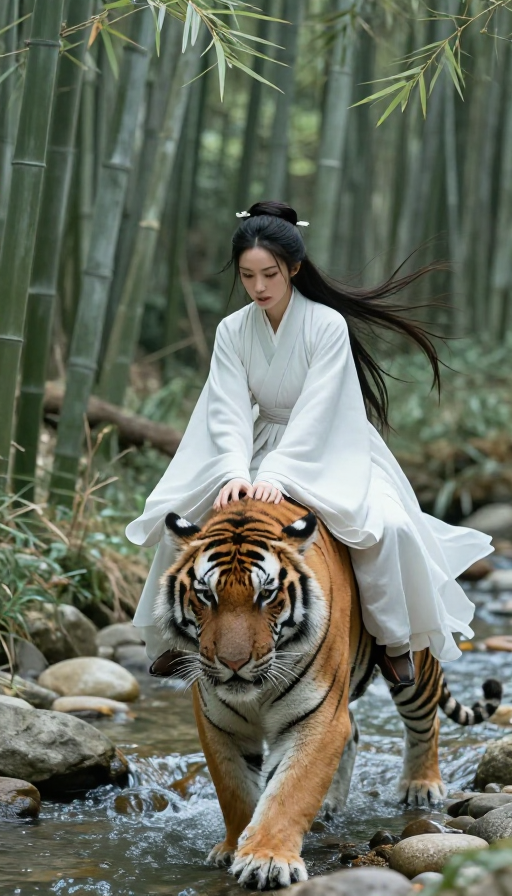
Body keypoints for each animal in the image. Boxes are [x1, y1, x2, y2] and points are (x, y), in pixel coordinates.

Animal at [155, 497, 502, 891]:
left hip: (416, 660)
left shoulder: (315, 716)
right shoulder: (220, 724)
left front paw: (267, 860)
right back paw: (329, 805)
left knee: (425, 723)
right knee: (353, 730)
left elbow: (290, 791)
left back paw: (421, 785)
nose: (233, 663)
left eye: (266, 595)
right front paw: (232, 848)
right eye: (206, 595)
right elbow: (236, 792)